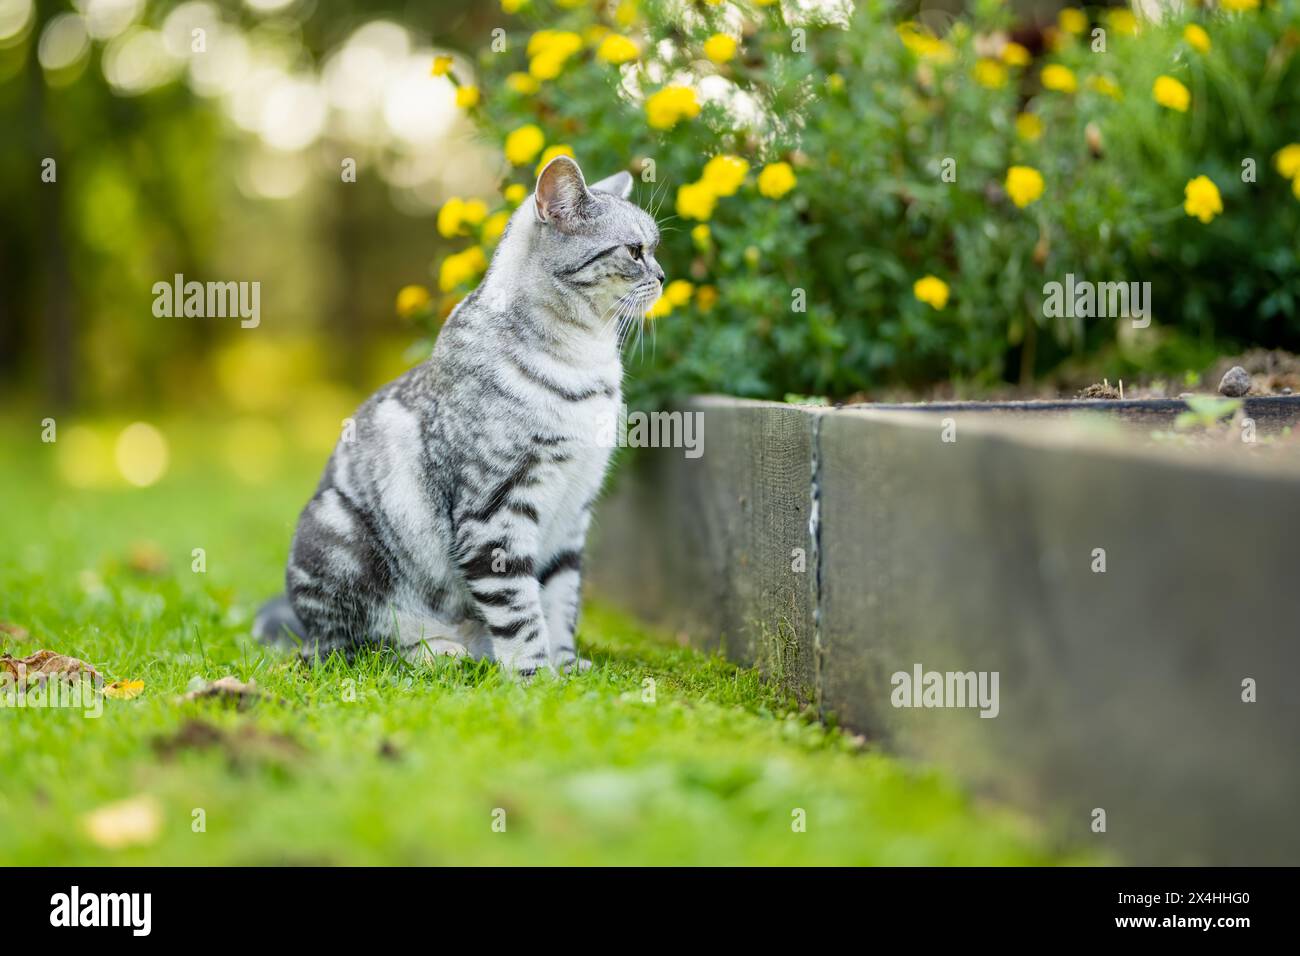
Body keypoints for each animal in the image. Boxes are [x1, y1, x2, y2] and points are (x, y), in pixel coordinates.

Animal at [252, 157, 660, 671]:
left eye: (654, 248)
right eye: (635, 251)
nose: (663, 276)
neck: (586, 361)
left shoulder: (572, 512)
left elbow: (559, 601)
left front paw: (566, 668)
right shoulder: (496, 512)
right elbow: (519, 611)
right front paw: (535, 676)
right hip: (332, 534)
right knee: (359, 646)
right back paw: (436, 651)